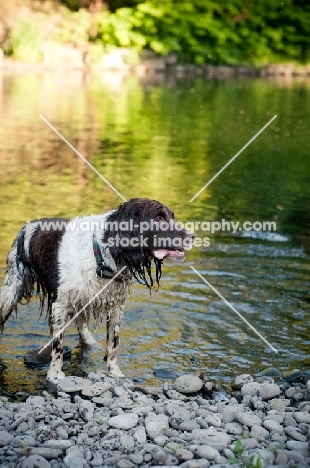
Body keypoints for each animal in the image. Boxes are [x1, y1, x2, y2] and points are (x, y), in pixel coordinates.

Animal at [0, 197, 194, 384]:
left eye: (172, 217)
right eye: (158, 218)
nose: (192, 236)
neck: (100, 256)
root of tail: (29, 224)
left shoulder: (116, 306)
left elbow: (113, 344)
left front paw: (114, 373)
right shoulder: (60, 305)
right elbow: (58, 346)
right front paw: (55, 376)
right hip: (11, 290)